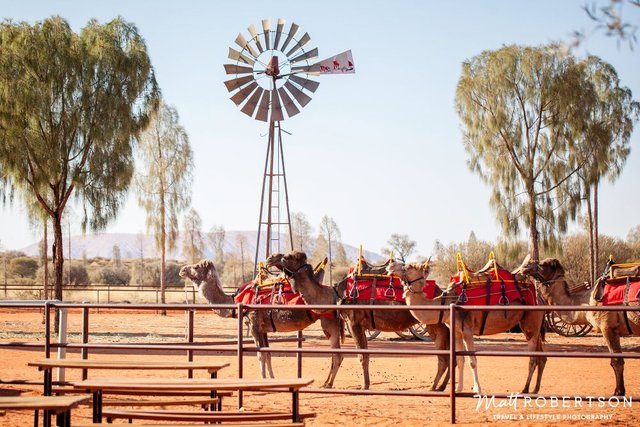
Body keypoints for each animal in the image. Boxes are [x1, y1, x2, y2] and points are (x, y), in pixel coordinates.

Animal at [179, 260, 344, 390]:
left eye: (196, 266)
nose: (182, 269)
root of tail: (336, 294)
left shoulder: (253, 325)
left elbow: (260, 354)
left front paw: (262, 380)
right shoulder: (264, 328)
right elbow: (268, 353)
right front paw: (272, 379)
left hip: (329, 321)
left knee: (337, 355)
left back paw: (328, 384)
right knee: (335, 354)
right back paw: (326, 382)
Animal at [264, 252, 450, 392]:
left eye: (289, 257)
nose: (270, 258)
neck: (333, 295)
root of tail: (441, 291)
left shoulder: (353, 322)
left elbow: (361, 355)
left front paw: (364, 386)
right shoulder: (360, 324)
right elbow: (364, 353)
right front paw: (361, 384)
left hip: (433, 322)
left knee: (444, 353)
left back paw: (434, 387)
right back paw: (440, 386)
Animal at [388, 258, 548, 394]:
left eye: (407, 267)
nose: (390, 265)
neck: (447, 303)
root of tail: (540, 298)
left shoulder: (467, 330)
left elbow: (472, 360)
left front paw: (477, 389)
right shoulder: (457, 332)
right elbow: (460, 359)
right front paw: (458, 389)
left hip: (531, 322)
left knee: (533, 358)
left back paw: (525, 389)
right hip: (531, 325)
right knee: (542, 356)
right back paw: (536, 389)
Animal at [516, 256, 636, 396]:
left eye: (542, 264)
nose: (524, 267)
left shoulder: (608, 327)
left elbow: (616, 361)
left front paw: (619, 392)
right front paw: (619, 391)